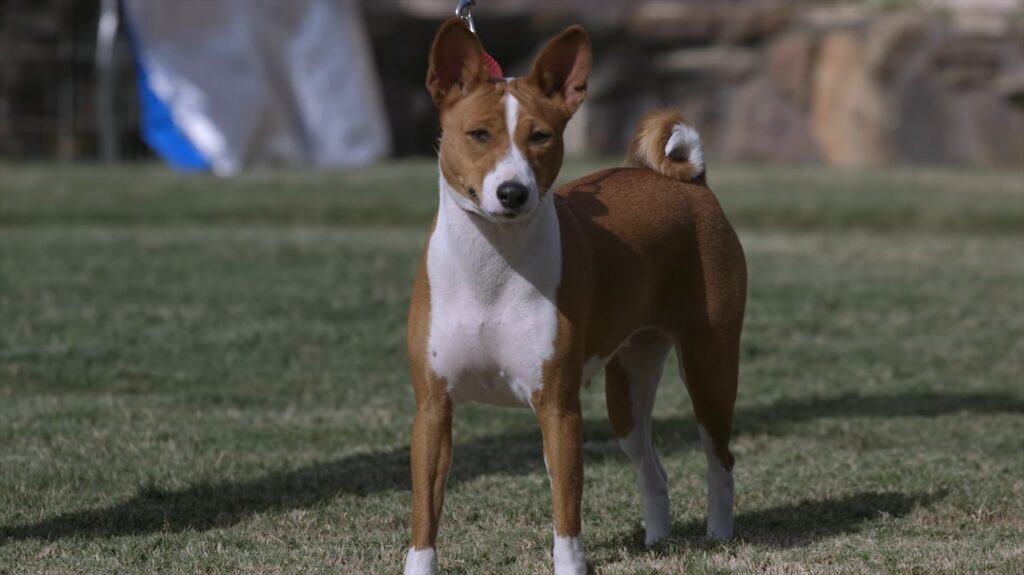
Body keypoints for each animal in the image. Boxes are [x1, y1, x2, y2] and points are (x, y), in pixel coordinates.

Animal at [403, 17, 749, 572]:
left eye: (540, 136)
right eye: (478, 134)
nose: (513, 192)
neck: (491, 273)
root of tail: (692, 183)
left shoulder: (558, 408)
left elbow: (566, 512)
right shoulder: (433, 409)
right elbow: (424, 513)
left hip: (709, 367)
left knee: (720, 458)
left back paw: (718, 535)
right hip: (627, 387)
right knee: (655, 471)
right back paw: (657, 541)